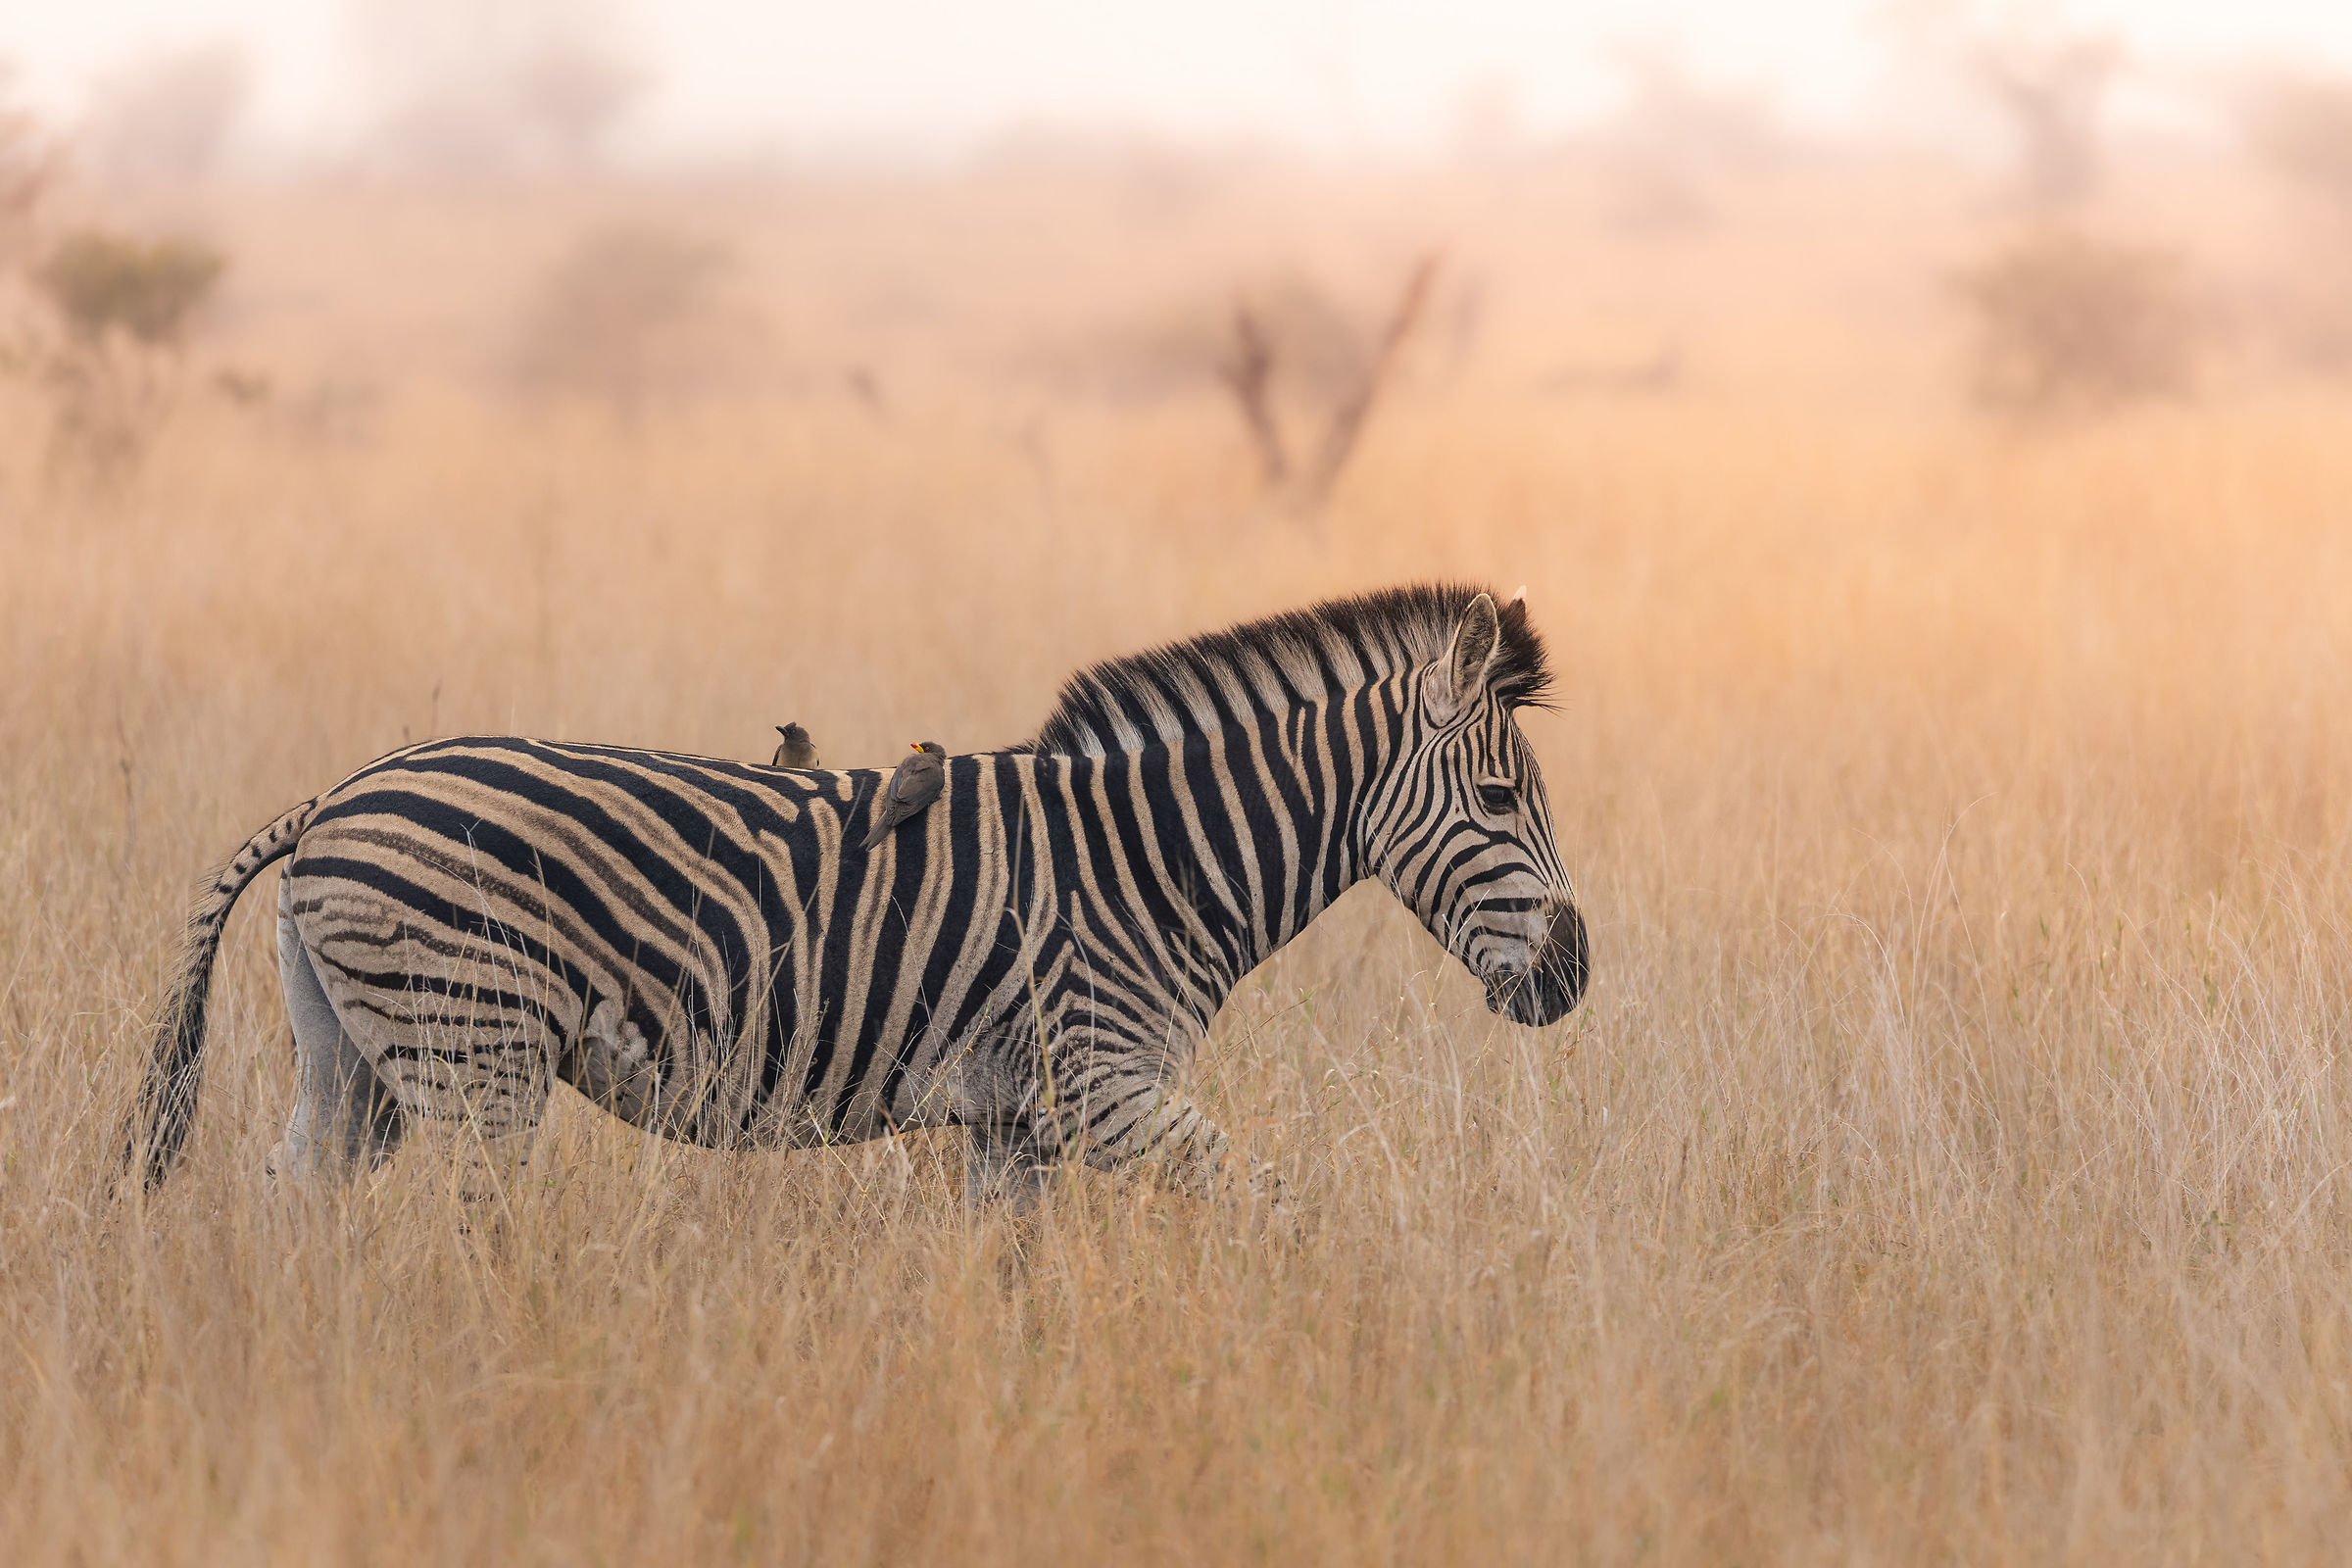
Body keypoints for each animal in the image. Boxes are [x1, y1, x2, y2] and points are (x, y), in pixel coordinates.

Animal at [124, 582, 1589, 1206]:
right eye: (1498, 802)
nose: (1576, 979)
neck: (1156, 860)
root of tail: (333, 798)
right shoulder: (1104, 1086)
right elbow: (1277, 1210)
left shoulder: (1018, 1123)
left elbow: (1012, 1289)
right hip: (471, 1053)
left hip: (353, 1059)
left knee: (293, 1211)